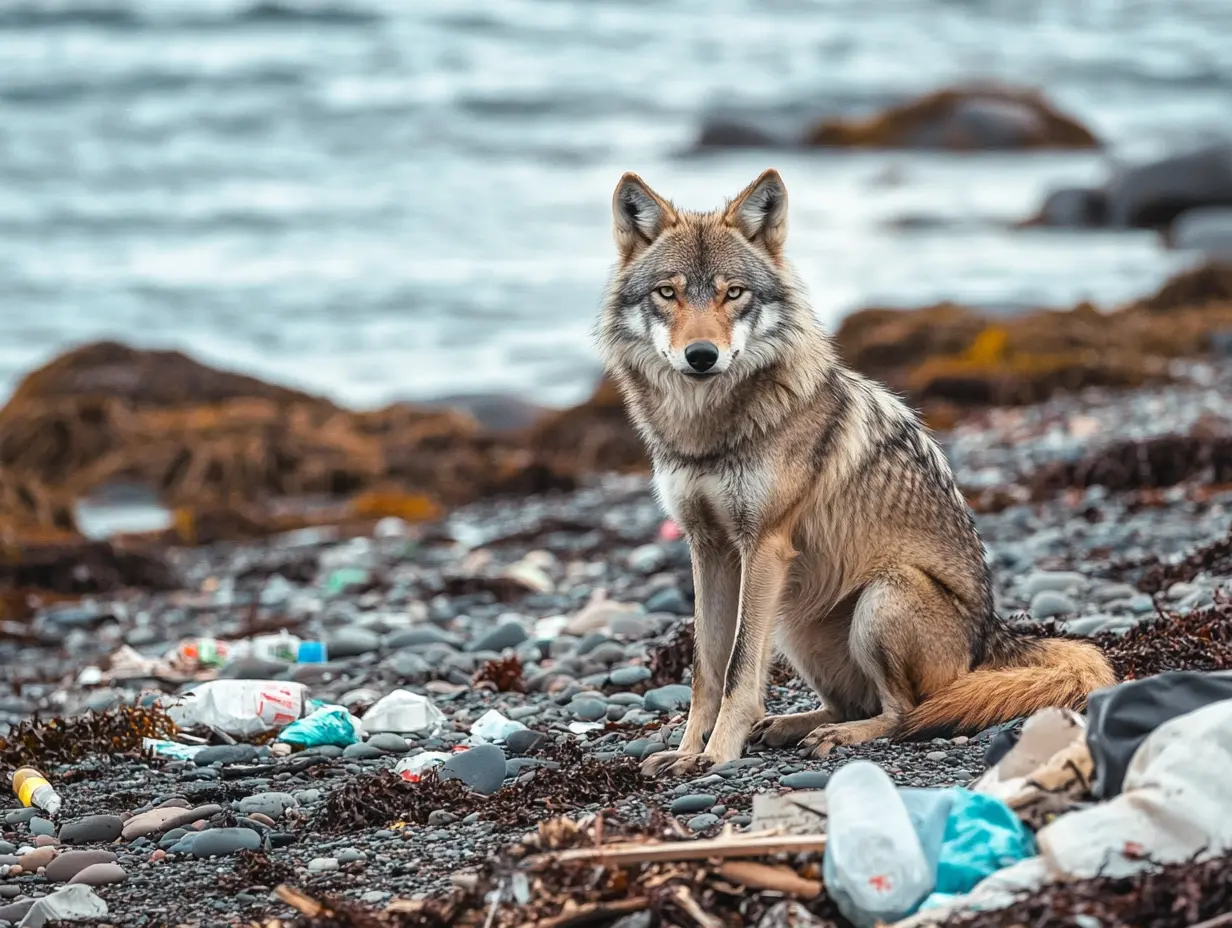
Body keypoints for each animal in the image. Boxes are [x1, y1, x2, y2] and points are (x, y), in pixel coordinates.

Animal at [596, 168, 1116, 778]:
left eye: (733, 293)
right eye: (668, 292)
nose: (702, 355)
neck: (706, 431)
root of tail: (993, 636)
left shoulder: (763, 545)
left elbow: (738, 670)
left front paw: (718, 753)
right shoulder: (709, 547)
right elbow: (707, 667)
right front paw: (685, 751)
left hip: (879, 596)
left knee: (902, 713)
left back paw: (838, 736)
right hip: (795, 620)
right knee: (850, 702)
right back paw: (792, 727)